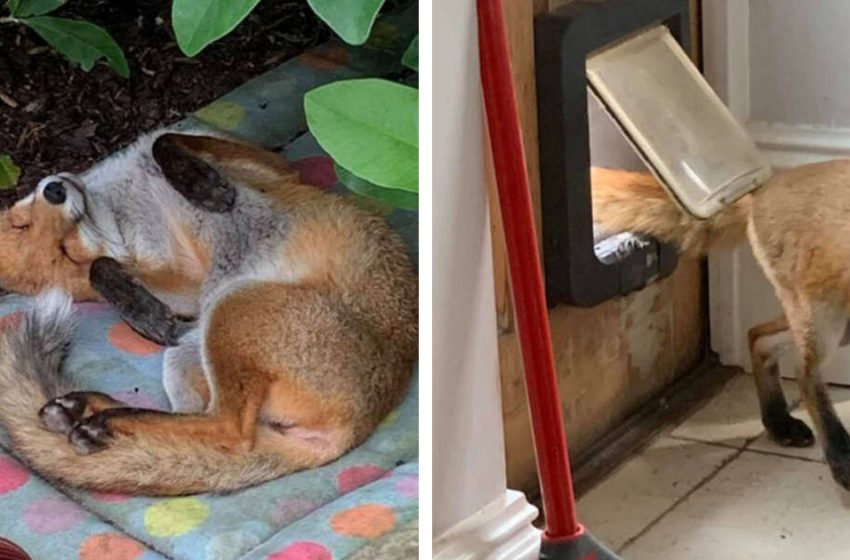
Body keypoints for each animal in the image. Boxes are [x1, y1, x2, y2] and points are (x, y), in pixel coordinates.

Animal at [0, 131, 418, 494]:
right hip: (225, 316)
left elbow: (163, 141)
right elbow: (101, 268)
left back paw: (94, 416)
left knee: (212, 430)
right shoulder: (191, 287)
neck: (125, 205)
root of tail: (355, 429)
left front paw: (201, 185)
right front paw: (139, 308)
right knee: (227, 431)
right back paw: (97, 417)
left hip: (207, 332)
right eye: (67, 252)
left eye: (24, 221)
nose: (54, 189)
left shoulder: (265, 165)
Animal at [592, 162, 850, 490]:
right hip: (827, 322)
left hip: (836, 325)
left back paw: (777, 423)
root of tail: (764, 186)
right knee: (804, 376)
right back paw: (839, 456)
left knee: (758, 338)